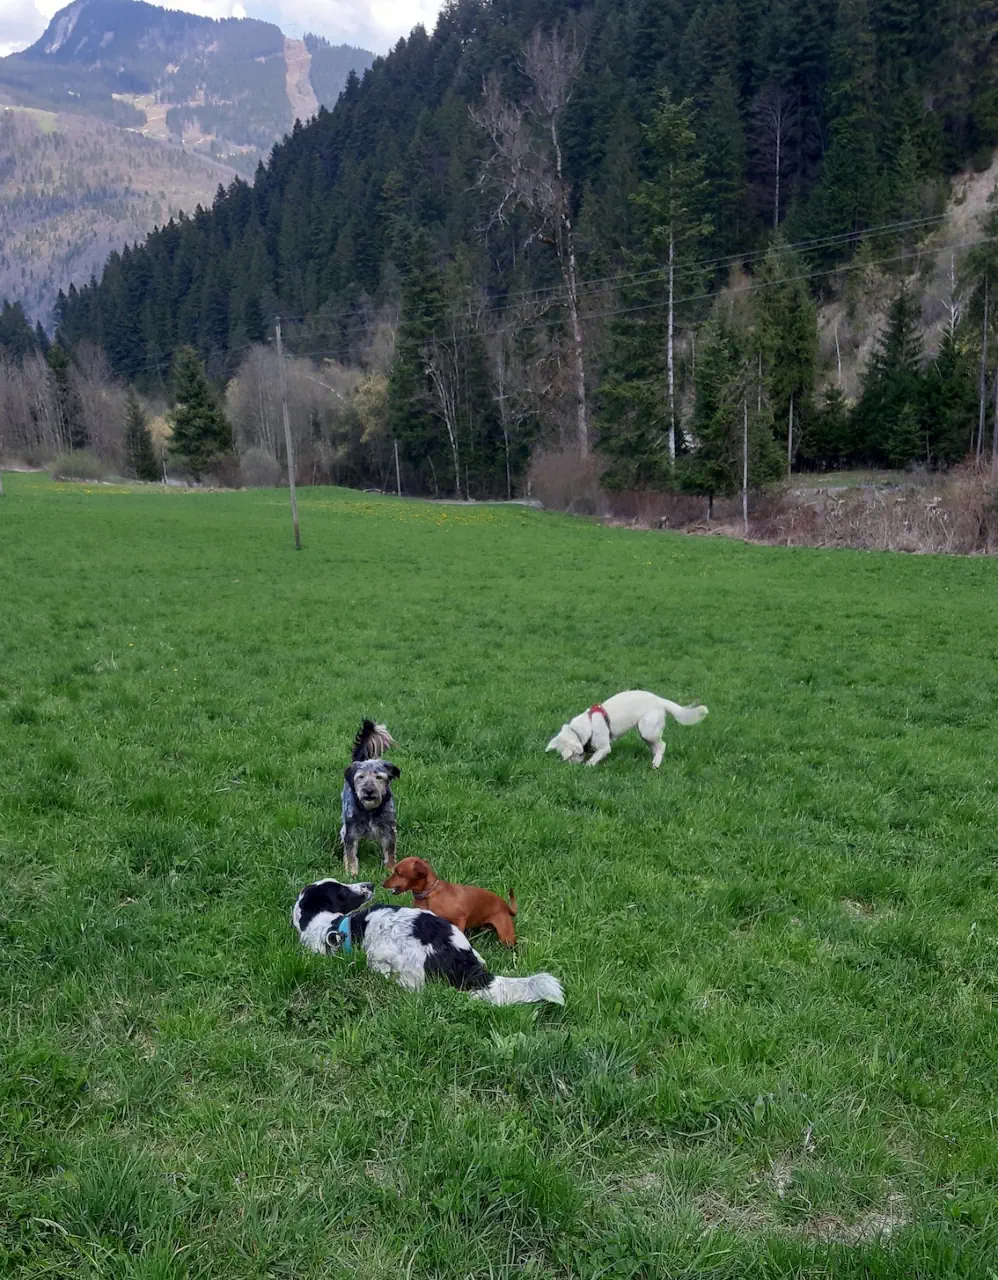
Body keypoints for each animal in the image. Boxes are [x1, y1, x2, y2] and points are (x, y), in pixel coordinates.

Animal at [340, 721, 399, 880]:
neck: (370, 810)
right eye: (361, 777)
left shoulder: (388, 829)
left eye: (379, 777)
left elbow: (390, 852)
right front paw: (352, 872)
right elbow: (350, 853)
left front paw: (391, 870)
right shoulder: (351, 830)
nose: (369, 791)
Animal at [381, 855, 519, 947]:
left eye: (398, 873)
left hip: (506, 937)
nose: (382, 883)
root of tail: (505, 906)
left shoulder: (460, 919)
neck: (429, 895)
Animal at [550, 691, 706, 768]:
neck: (588, 726)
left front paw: (588, 766)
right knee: (655, 747)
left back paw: (656, 763)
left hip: (647, 730)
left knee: (662, 745)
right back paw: (654, 760)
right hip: (645, 733)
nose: (569, 767)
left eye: (571, 756)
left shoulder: (604, 748)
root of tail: (659, 700)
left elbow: (594, 758)